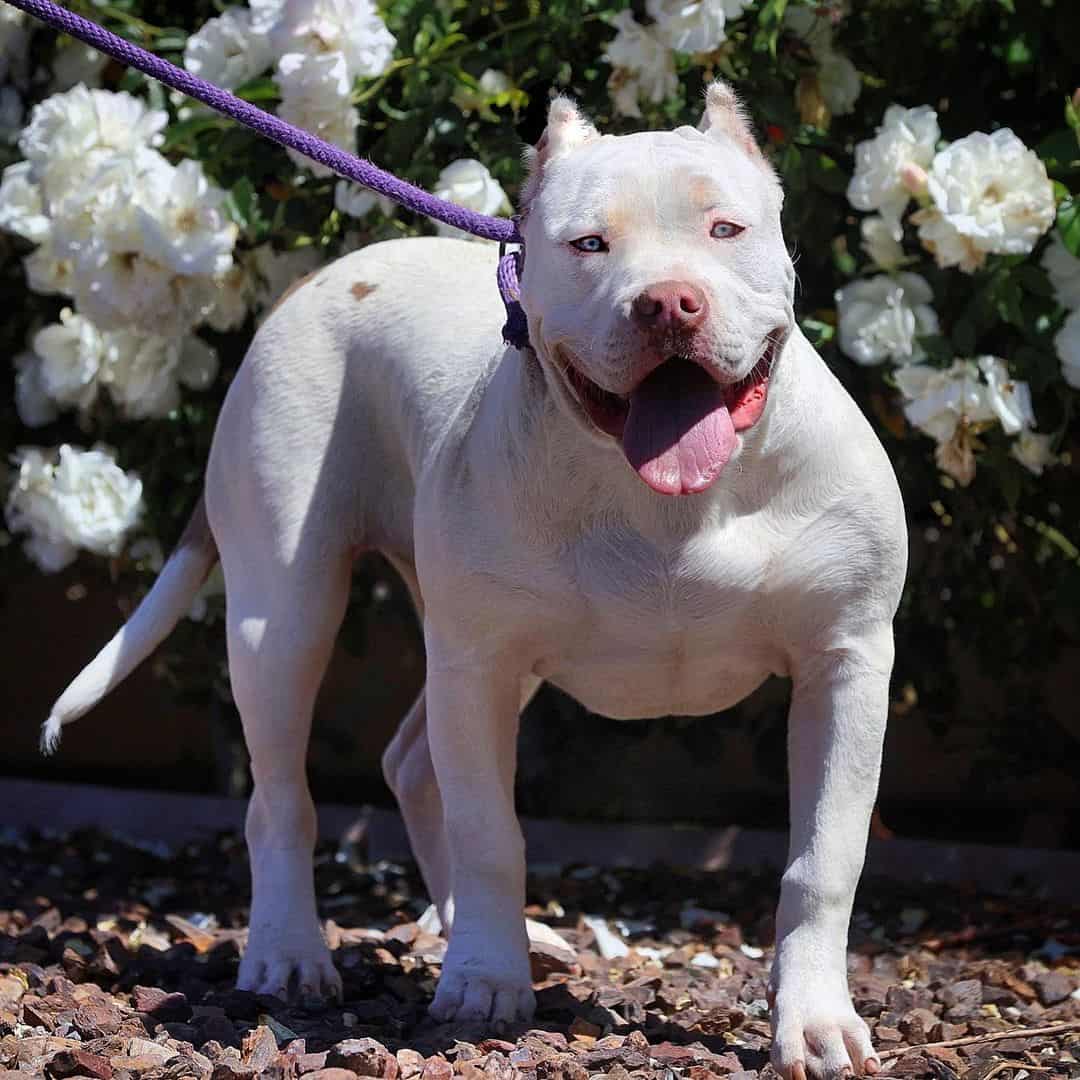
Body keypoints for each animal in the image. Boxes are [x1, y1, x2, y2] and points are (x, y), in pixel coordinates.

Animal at [44, 88, 902, 1080]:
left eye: (726, 228)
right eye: (588, 245)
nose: (668, 303)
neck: (669, 508)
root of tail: (318, 279)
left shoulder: (846, 663)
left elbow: (824, 858)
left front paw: (815, 1022)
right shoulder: (481, 666)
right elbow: (492, 834)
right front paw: (486, 985)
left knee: (414, 765)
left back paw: (488, 933)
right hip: (287, 616)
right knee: (282, 796)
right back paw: (294, 954)